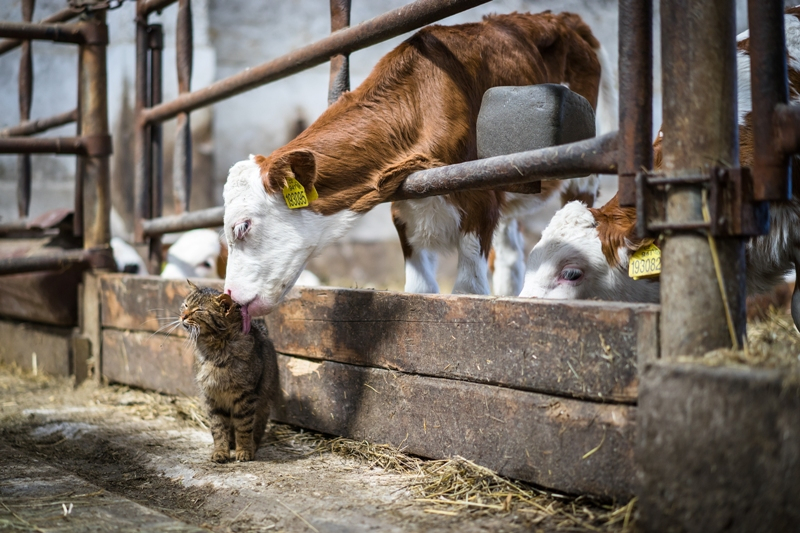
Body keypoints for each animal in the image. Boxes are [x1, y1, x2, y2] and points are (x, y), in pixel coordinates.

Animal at [180, 282, 276, 462]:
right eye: (186, 305)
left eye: (198, 310)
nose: (182, 316)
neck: (215, 351)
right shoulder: (212, 397)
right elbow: (218, 429)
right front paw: (220, 452)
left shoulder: (246, 396)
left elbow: (244, 427)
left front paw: (244, 451)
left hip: (264, 403)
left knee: (257, 428)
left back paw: (251, 446)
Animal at [222, 11, 616, 324]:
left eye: (241, 227)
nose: (229, 297)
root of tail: (560, 17)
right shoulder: (403, 204)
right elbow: (420, 288)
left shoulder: (480, 195)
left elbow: (468, 290)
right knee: (510, 252)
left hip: (579, 165)